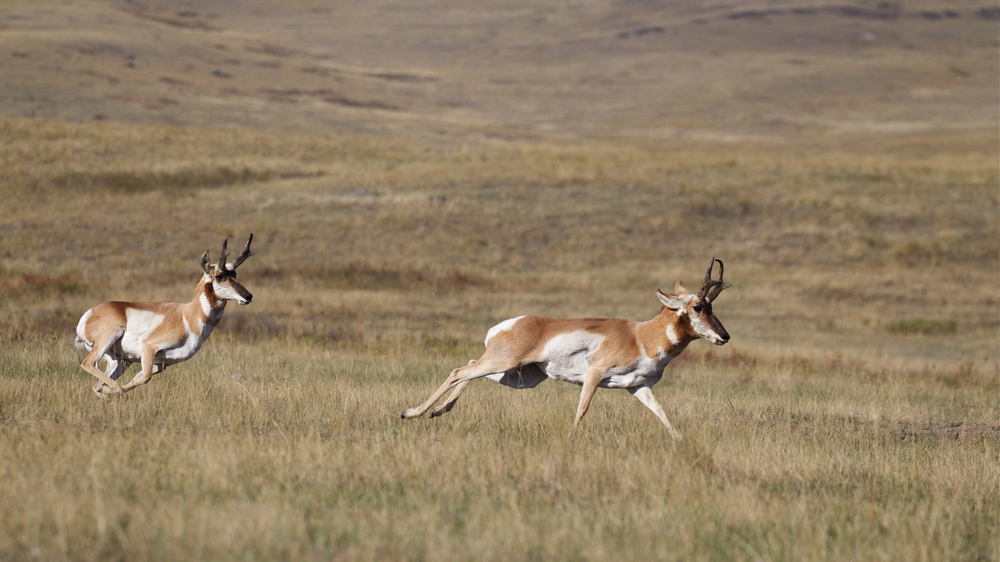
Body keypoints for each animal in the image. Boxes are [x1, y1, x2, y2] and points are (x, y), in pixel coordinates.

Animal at [74, 234, 254, 396]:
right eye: (219, 276)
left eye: (235, 275)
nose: (248, 296)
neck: (187, 316)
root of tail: (91, 313)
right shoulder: (149, 348)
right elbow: (145, 377)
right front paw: (116, 391)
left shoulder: (161, 363)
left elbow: (140, 378)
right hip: (109, 340)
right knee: (88, 364)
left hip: (119, 361)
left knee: (96, 385)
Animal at [400, 258, 736, 438]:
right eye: (697, 307)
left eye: (712, 306)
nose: (725, 336)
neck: (642, 335)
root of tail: (511, 324)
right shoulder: (594, 375)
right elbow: (582, 408)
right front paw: (571, 436)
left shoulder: (638, 387)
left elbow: (662, 413)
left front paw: (680, 440)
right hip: (503, 365)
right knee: (459, 371)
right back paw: (411, 413)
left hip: (519, 376)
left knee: (469, 368)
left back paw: (438, 412)